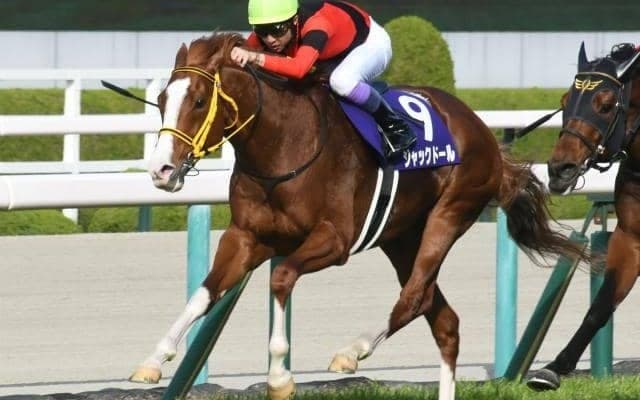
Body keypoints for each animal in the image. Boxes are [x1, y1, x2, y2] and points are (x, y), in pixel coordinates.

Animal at [131, 32, 585, 400]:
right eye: (161, 101)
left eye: (198, 101)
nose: (161, 171)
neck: (283, 144)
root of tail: (483, 132)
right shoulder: (246, 237)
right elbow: (203, 294)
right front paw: (153, 359)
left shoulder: (334, 240)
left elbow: (281, 278)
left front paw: (279, 378)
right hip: (401, 237)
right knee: (444, 321)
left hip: (451, 212)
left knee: (413, 297)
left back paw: (352, 351)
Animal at [527, 42, 640, 391]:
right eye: (566, 100)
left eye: (605, 104)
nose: (560, 169)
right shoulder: (631, 236)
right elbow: (602, 304)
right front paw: (553, 368)